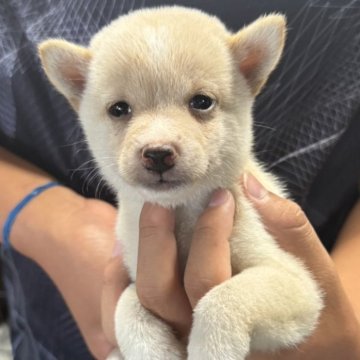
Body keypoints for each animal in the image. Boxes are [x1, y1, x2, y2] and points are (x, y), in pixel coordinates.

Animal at [38, 5, 324, 360]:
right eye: (119, 109)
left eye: (201, 102)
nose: (158, 153)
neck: (182, 213)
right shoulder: (136, 274)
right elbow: (127, 307)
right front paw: (151, 350)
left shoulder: (297, 282)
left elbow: (222, 300)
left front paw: (212, 349)